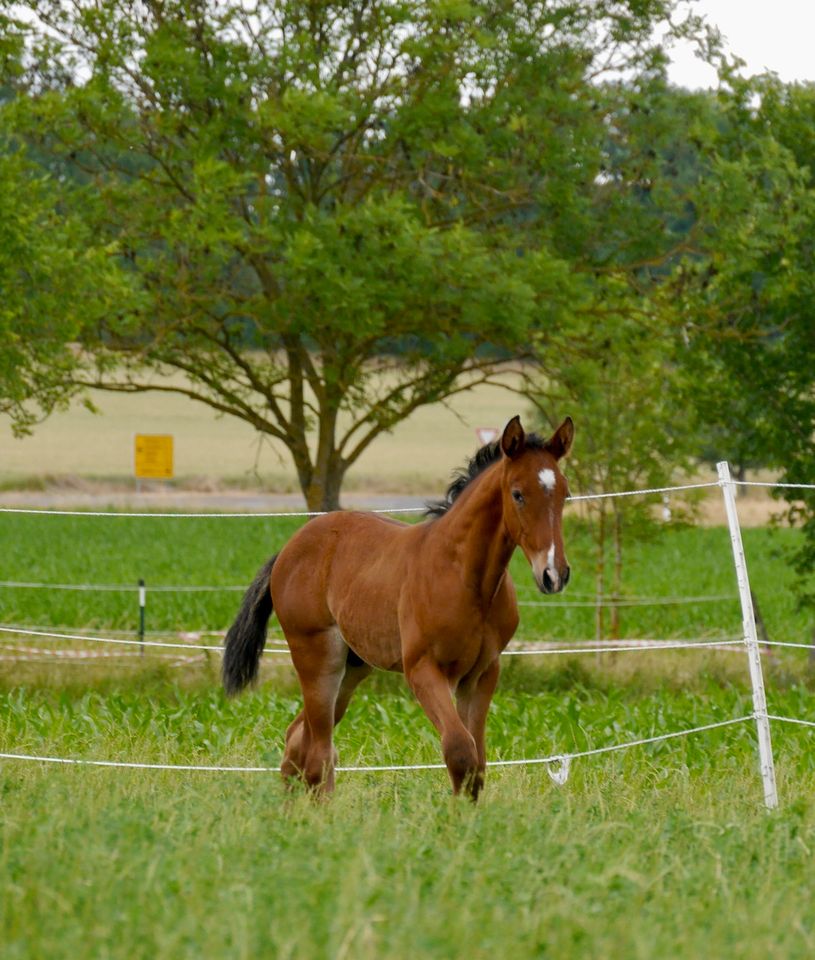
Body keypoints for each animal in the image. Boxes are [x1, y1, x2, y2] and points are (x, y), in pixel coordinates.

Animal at [220, 416, 572, 800]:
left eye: (565, 494)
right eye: (518, 494)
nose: (554, 574)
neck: (466, 577)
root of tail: (287, 550)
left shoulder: (482, 673)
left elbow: (477, 764)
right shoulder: (423, 670)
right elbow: (460, 751)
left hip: (353, 668)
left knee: (299, 739)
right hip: (317, 658)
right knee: (319, 754)